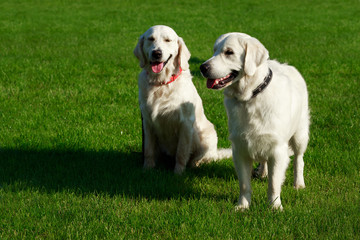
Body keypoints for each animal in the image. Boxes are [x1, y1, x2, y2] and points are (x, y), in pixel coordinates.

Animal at [134, 25, 231, 173]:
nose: (157, 53)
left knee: (200, 158)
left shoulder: (185, 123)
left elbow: (181, 151)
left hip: (207, 136)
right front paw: (147, 168)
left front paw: (178, 173)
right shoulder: (147, 121)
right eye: (151, 39)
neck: (161, 84)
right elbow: (148, 149)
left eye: (168, 40)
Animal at [200, 32, 310, 210]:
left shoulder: (277, 149)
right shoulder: (240, 148)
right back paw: (262, 172)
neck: (250, 97)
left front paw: (274, 206)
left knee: (299, 159)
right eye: (214, 50)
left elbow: (274, 183)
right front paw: (243, 206)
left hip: (300, 135)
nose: (202, 68)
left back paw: (299, 184)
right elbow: (244, 184)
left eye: (229, 52)